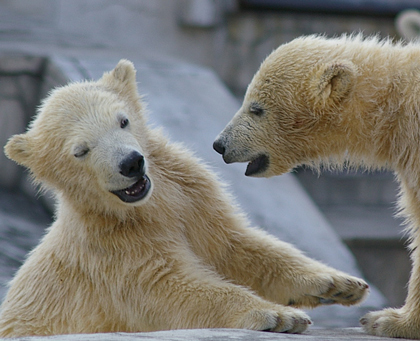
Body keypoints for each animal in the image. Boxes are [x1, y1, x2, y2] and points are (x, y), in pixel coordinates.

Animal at [0, 59, 368, 338]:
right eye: (80, 150)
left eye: (123, 120)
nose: (131, 163)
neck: (146, 207)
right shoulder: (110, 248)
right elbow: (171, 288)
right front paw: (278, 316)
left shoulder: (191, 198)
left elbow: (235, 247)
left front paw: (338, 283)